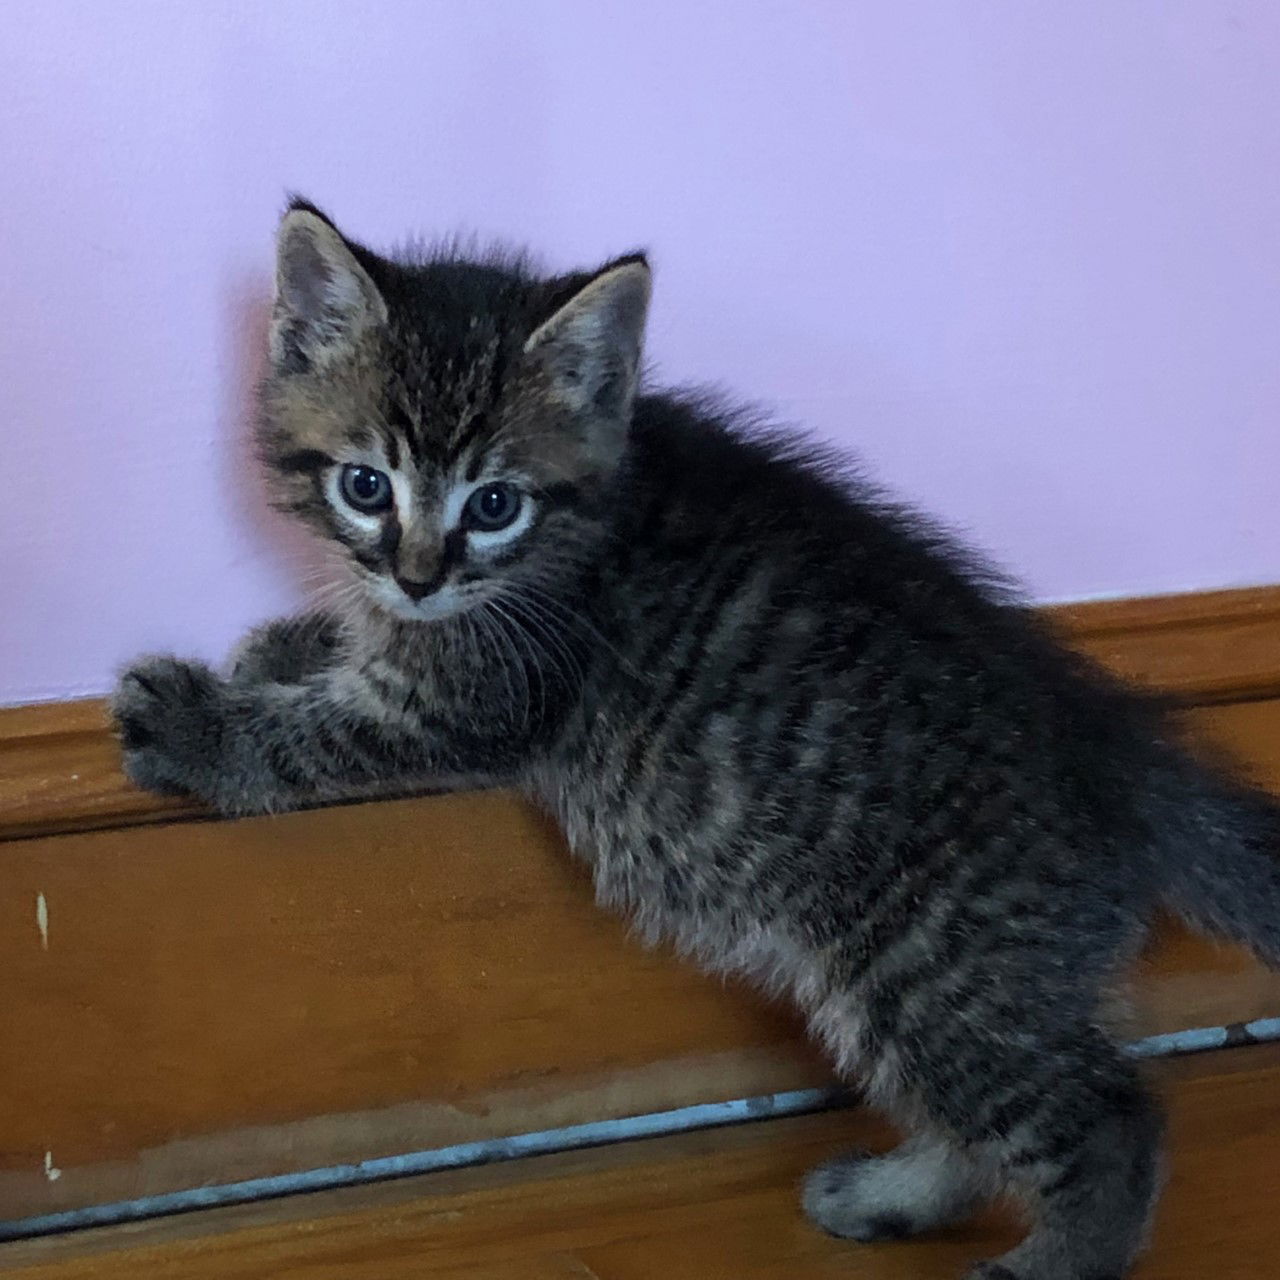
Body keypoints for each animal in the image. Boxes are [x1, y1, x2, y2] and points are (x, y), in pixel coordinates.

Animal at [112, 194, 1280, 1274]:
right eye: (365, 484)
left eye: (493, 504)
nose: (418, 574)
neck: (579, 525)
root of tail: (1107, 737)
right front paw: (291, 640)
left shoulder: (477, 704)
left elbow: (317, 737)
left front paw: (194, 719)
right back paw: (890, 1194)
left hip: (940, 961)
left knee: (1106, 1116)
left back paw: (1053, 1258)